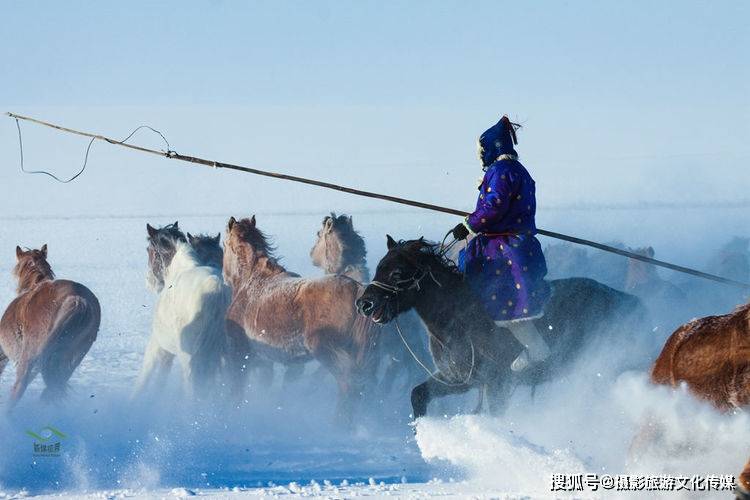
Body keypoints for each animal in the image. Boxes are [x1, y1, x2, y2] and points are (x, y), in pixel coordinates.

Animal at [133, 222, 230, 399]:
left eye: (150, 250)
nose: (149, 282)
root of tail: (216, 289)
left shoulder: (158, 343)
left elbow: (147, 375)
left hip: (190, 358)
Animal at [223, 215, 379, 422]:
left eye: (224, 245)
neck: (250, 282)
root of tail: (358, 290)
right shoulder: (269, 361)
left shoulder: (239, 353)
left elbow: (236, 389)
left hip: (328, 352)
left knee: (348, 384)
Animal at [355, 236, 646, 419]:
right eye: (379, 267)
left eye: (396, 273)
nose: (364, 304)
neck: (458, 318)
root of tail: (627, 299)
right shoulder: (460, 379)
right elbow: (419, 394)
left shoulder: (497, 383)